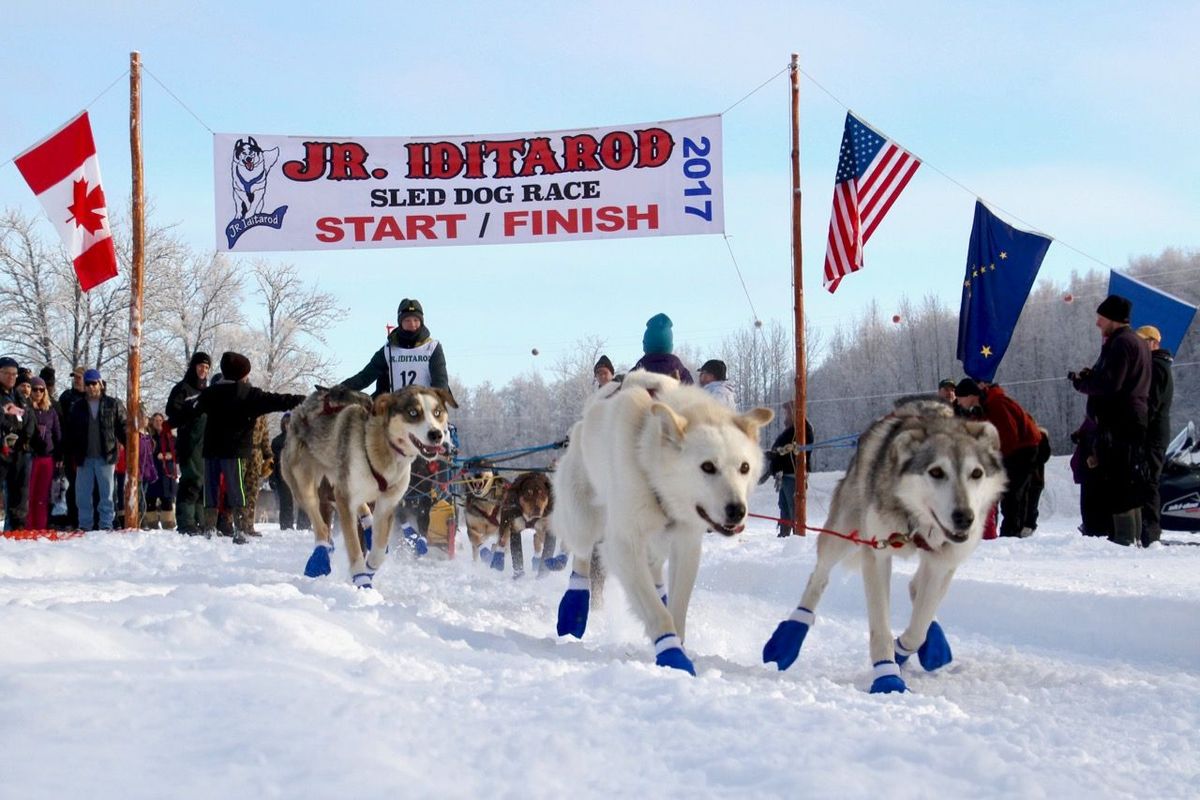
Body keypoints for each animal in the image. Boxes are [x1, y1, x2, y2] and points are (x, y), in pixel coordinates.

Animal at [283, 383, 456, 585]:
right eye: (413, 412)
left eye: (437, 412)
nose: (436, 434)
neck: (381, 448)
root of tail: (302, 406)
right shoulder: (346, 500)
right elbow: (354, 547)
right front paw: (361, 578)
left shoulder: (387, 503)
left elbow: (379, 551)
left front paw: (370, 568)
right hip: (306, 487)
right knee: (321, 527)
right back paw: (320, 556)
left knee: (361, 510)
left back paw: (368, 525)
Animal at [549, 371, 772, 671]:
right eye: (707, 466)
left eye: (744, 467)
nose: (737, 510)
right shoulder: (624, 546)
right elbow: (657, 613)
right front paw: (672, 654)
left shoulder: (686, 545)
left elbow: (677, 610)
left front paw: (678, 643)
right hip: (582, 519)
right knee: (582, 556)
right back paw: (573, 609)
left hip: (656, 543)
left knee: (654, 572)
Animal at [763, 400, 1008, 695]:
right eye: (936, 472)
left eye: (976, 473)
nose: (964, 517)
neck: (914, 519)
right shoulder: (876, 554)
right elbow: (880, 627)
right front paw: (887, 676)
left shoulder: (942, 562)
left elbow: (918, 628)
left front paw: (902, 651)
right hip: (840, 536)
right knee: (818, 579)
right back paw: (789, 637)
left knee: (917, 589)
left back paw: (932, 641)